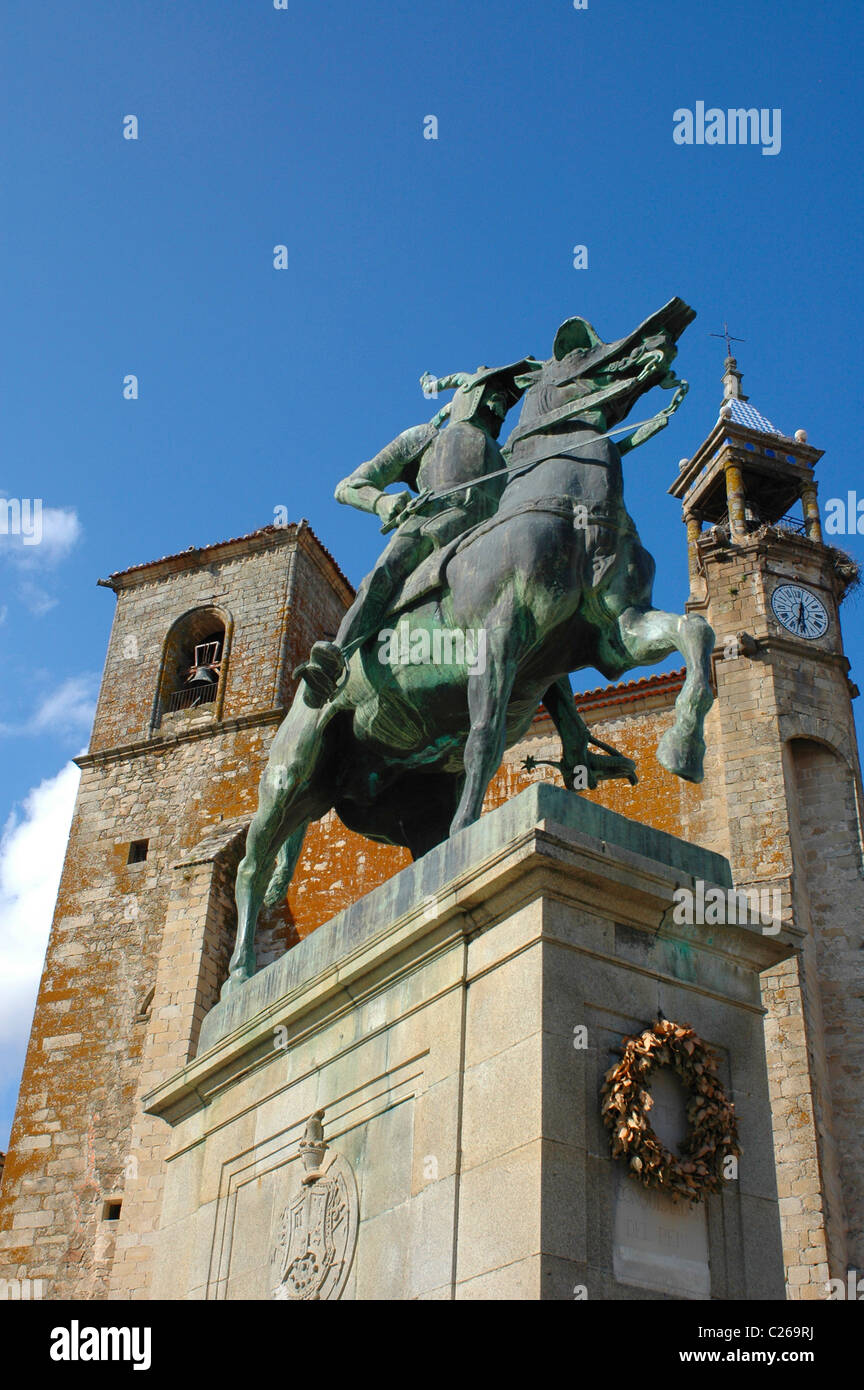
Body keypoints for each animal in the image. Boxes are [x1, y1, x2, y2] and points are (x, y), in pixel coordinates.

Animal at [225, 296, 716, 989]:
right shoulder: (498, 638)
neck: (571, 507)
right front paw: (470, 834)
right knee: (253, 862)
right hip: (292, 771)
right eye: (580, 347)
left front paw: (681, 748)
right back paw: (241, 974)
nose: (668, 325)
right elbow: (483, 737)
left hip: (367, 795)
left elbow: (695, 633)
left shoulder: (617, 634)